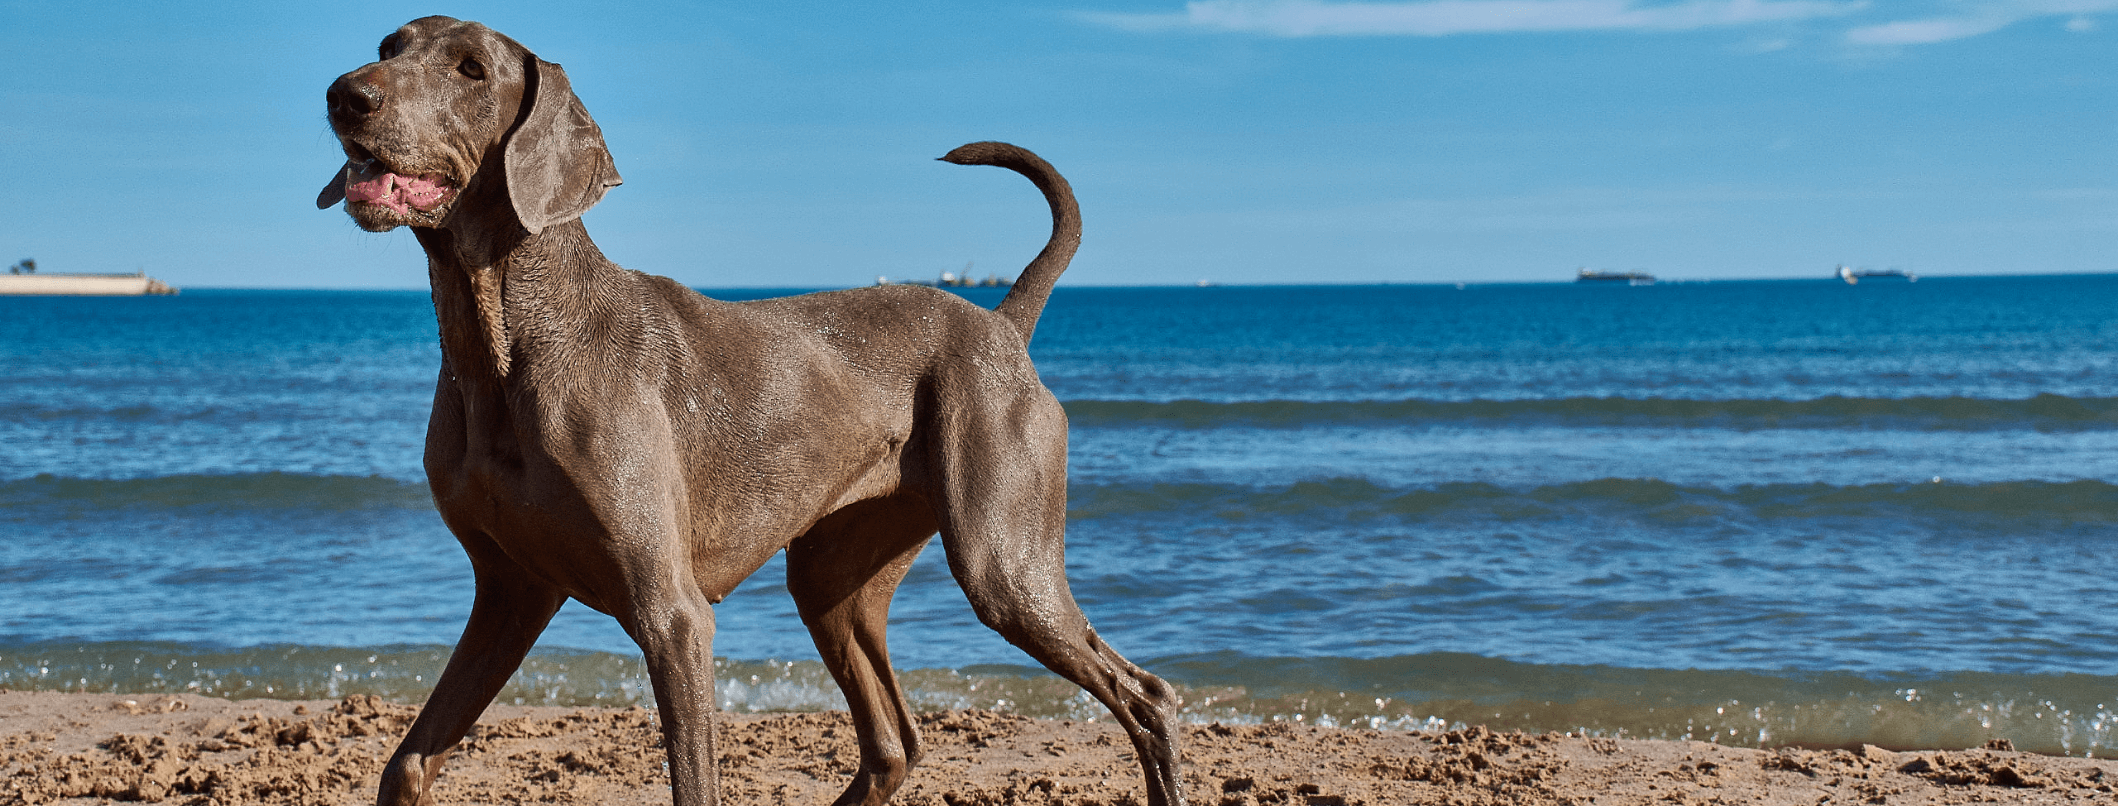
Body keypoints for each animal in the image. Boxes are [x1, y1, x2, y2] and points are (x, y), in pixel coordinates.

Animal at [319, 15, 1194, 803]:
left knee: (1144, 696)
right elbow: (405, 764)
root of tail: (1000, 324)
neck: (501, 343)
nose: (345, 95)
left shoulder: (670, 614)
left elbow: (693, 778)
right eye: (389, 46)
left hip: (1002, 559)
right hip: (835, 575)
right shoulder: (510, 589)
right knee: (893, 743)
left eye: (471, 69)